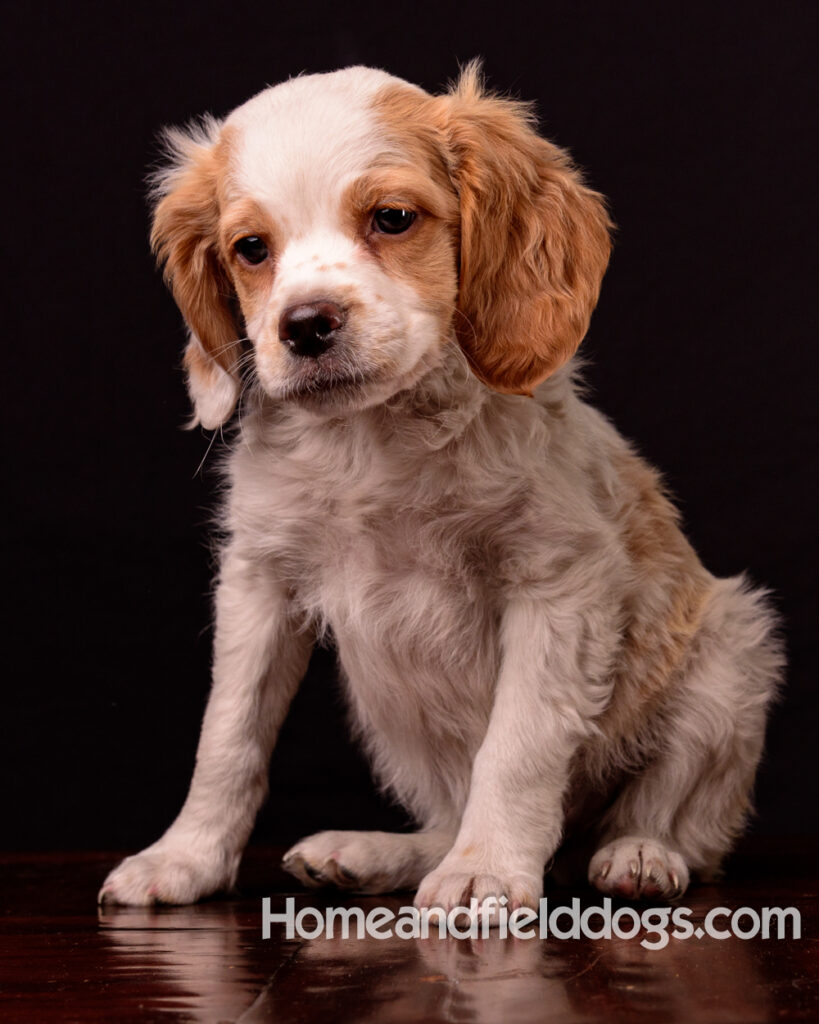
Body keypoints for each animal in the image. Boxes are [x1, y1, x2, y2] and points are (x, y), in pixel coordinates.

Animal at [99, 64, 782, 913]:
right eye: (250, 249)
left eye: (392, 219)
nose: (305, 324)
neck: (372, 438)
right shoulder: (259, 582)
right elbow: (227, 735)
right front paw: (183, 857)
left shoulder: (556, 586)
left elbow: (514, 746)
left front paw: (485, 869)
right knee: (442, 816)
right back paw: (373, 853)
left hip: (730, 660)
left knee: (677, 820)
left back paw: (637, 855)